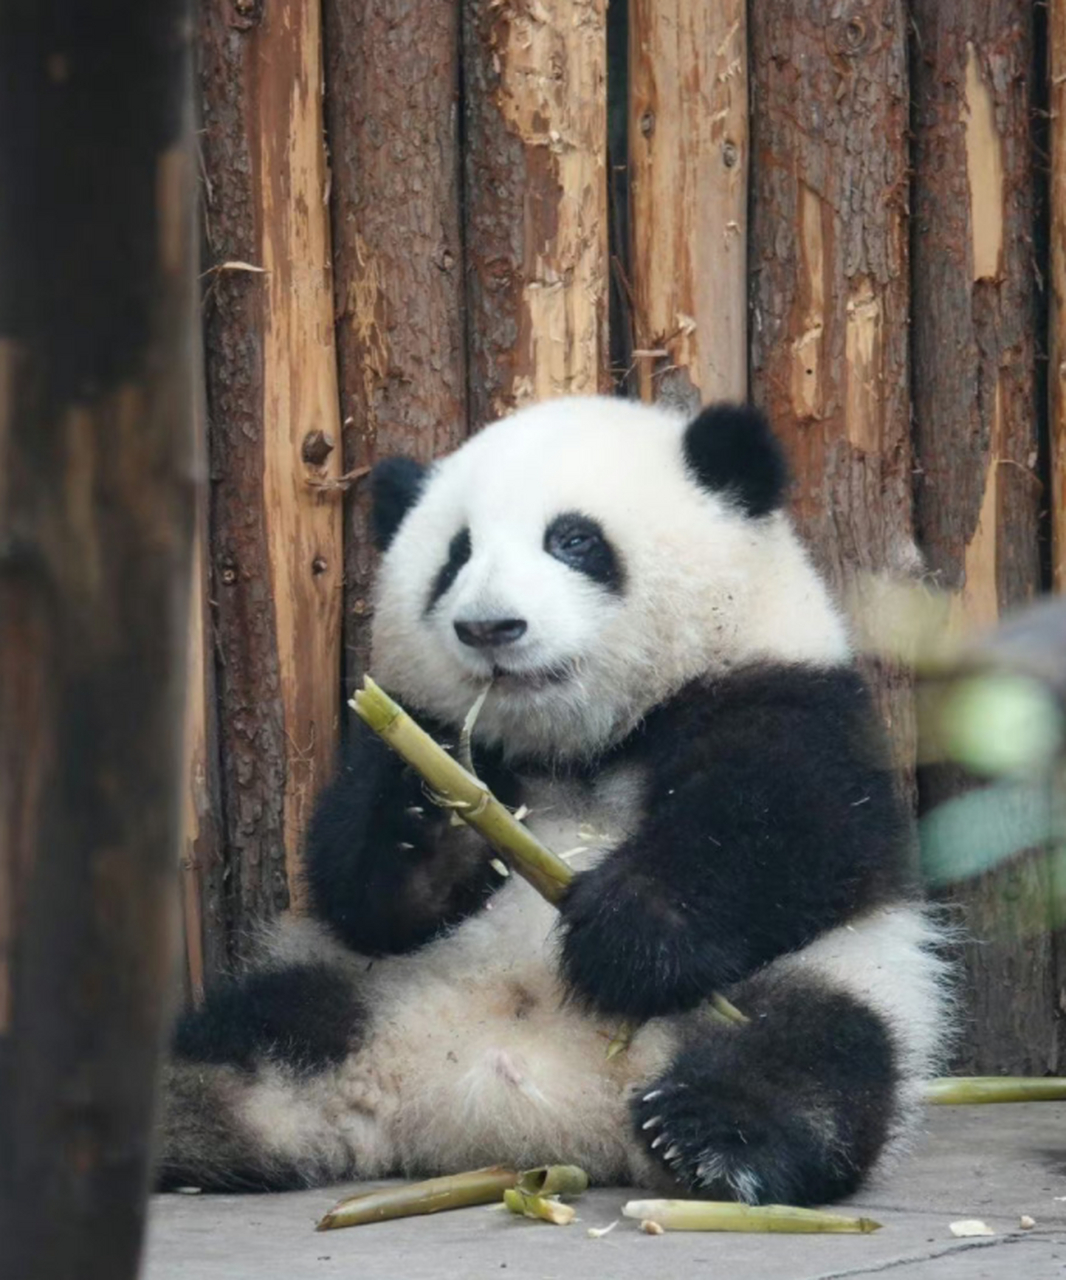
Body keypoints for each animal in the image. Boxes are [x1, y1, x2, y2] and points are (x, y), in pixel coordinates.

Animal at [159, 394, 946, 1203]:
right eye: (455, 556)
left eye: (573, 540)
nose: (489, 627)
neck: (579, 748)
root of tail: (525, 1115)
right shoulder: (408, 726)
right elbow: (352, 887)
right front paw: (434, 823)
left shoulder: (794, 696)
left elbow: (799, 832)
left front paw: (626, 929)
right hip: (349, 989)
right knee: (257, 1030)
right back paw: (185, 1113)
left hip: (841, 978)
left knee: (814, 1053)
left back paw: (711, 1133)